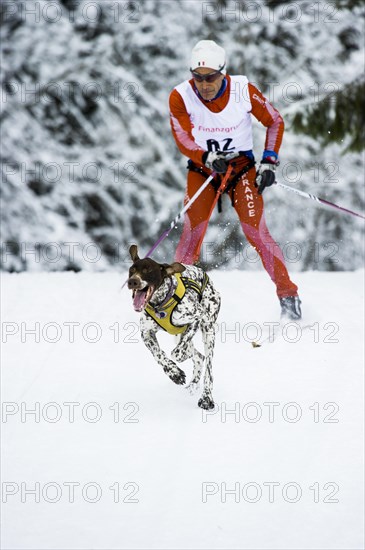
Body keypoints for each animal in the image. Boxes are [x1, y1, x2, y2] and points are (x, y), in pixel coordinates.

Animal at [128, 246, 219, 410]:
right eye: (132, 270)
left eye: (148, 270)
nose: (133, 281)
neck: (160, 304)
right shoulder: (146, 333)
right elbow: (158, 355)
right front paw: (174, 373)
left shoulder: (197, 318)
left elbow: (177, 353)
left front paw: (182, 355)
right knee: (199, 357)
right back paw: (193, 384)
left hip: (208, 330)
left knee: (208, 368)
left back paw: (206, 398)